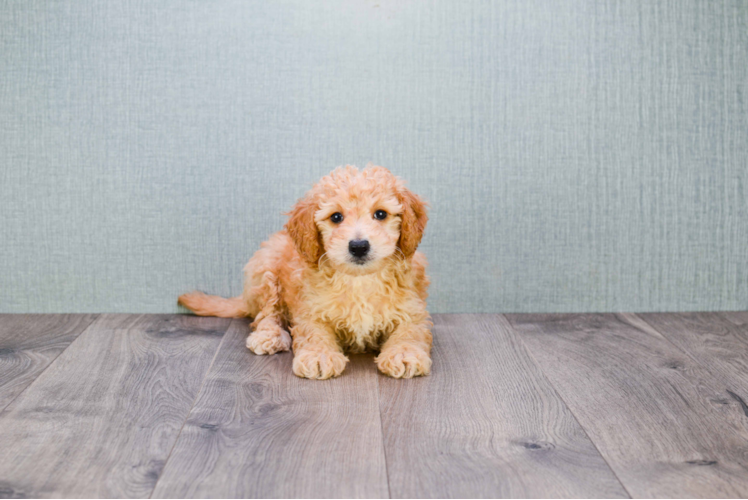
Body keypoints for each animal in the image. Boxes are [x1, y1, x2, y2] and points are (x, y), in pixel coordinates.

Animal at [177, 164, 432, 378]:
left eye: (380, 214)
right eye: (336, 217)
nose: (359, 246)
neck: (359, 280)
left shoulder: (412, 309)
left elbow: (410, 331)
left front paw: (404, 353)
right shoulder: (310, 309)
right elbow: (314, 332)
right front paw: (319, 355)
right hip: (265, 268)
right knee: (266, 314)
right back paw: (269, 335)